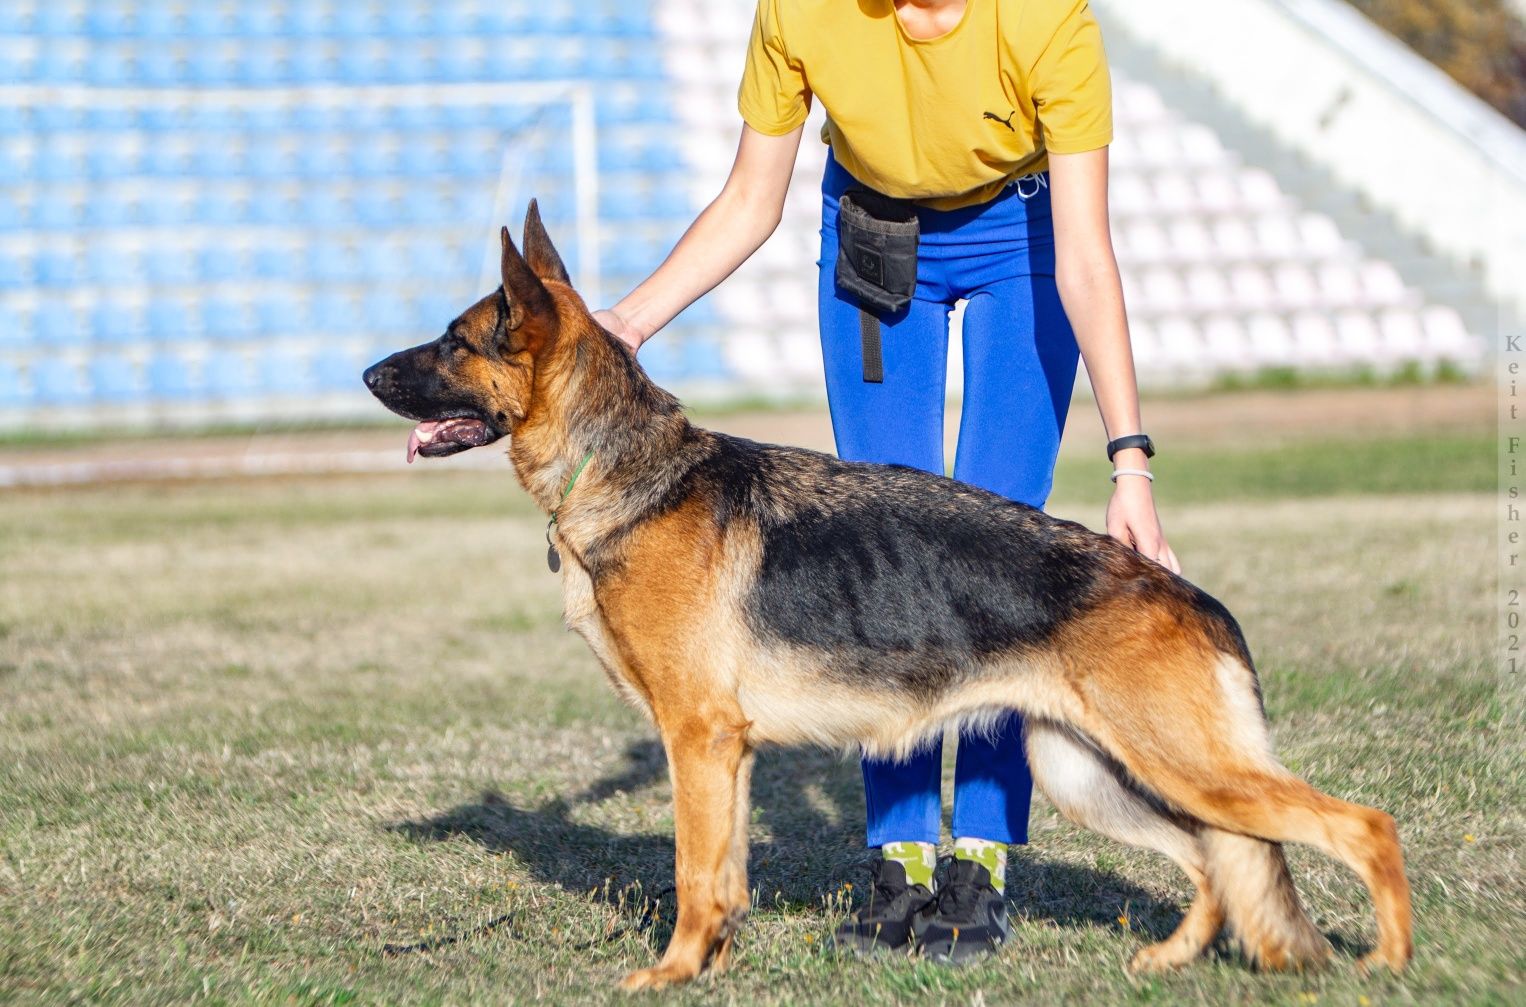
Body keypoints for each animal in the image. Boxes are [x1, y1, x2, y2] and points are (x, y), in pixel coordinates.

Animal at [363, 204, 1410, 988]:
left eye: (455, 342)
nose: (366, 371)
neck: (620, 467)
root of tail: (1188, 592)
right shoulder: (723, 752)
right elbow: (723, 875)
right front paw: (712, 967)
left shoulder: (697, 738)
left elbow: (693, 871)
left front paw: (670, 972)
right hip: (1090, 772)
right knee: (1210, 860)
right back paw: (1167, 959)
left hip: (1183, 766)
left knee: (1361, 824)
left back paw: (1390, 962)